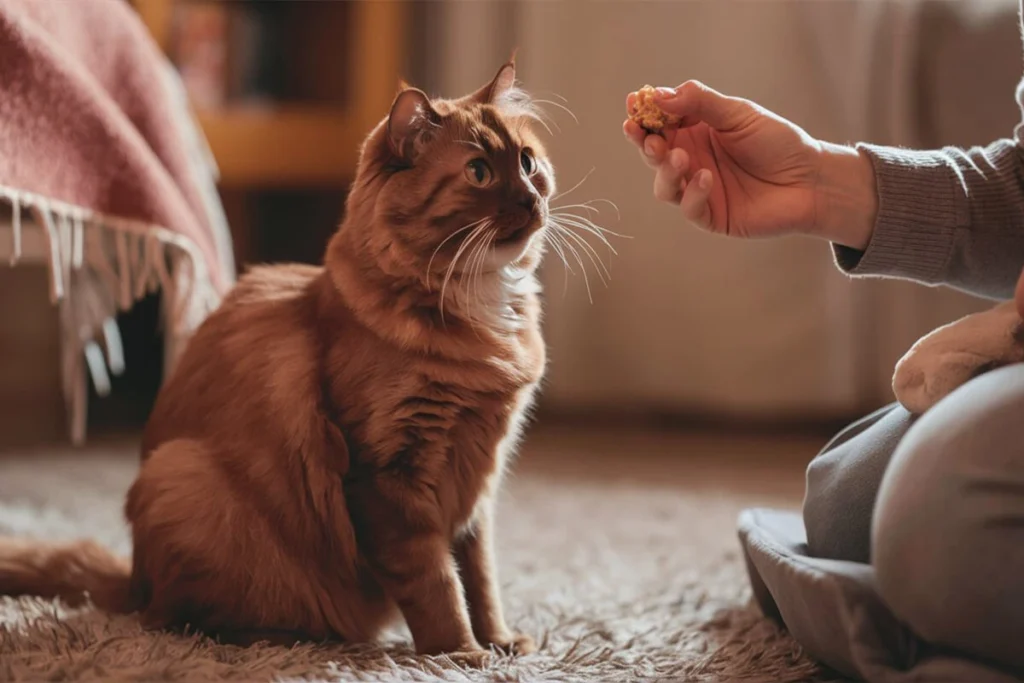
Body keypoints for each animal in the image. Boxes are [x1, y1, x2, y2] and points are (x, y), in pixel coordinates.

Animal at [2, 60, 561, 667]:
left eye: (527, 162)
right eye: (479, 172)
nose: (530, 200)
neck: (482, 319)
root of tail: (133, 579)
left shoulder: (476, 486)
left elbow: (479, 578)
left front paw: (500, 642)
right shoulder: (389, 479)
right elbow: (438, 583)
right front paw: (460, 654)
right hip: (184, 479)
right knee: (179, 622)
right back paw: (285, 639)